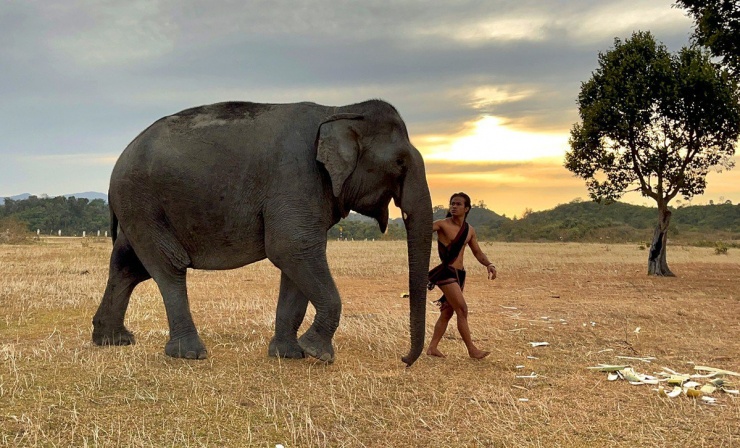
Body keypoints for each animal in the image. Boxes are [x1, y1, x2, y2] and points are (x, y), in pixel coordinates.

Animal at [92, 98, 434, 364]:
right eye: (400, 163)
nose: (404, 359)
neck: (339, 110)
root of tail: (119, 161)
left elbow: (296, 261)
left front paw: (289, 355)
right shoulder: (298, 177)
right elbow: (291, 248)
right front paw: (318, 353)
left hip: (139, 209)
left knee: (128, 266)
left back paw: (112, 340)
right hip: (143, 203)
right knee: (168, 266)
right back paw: (189, 354)